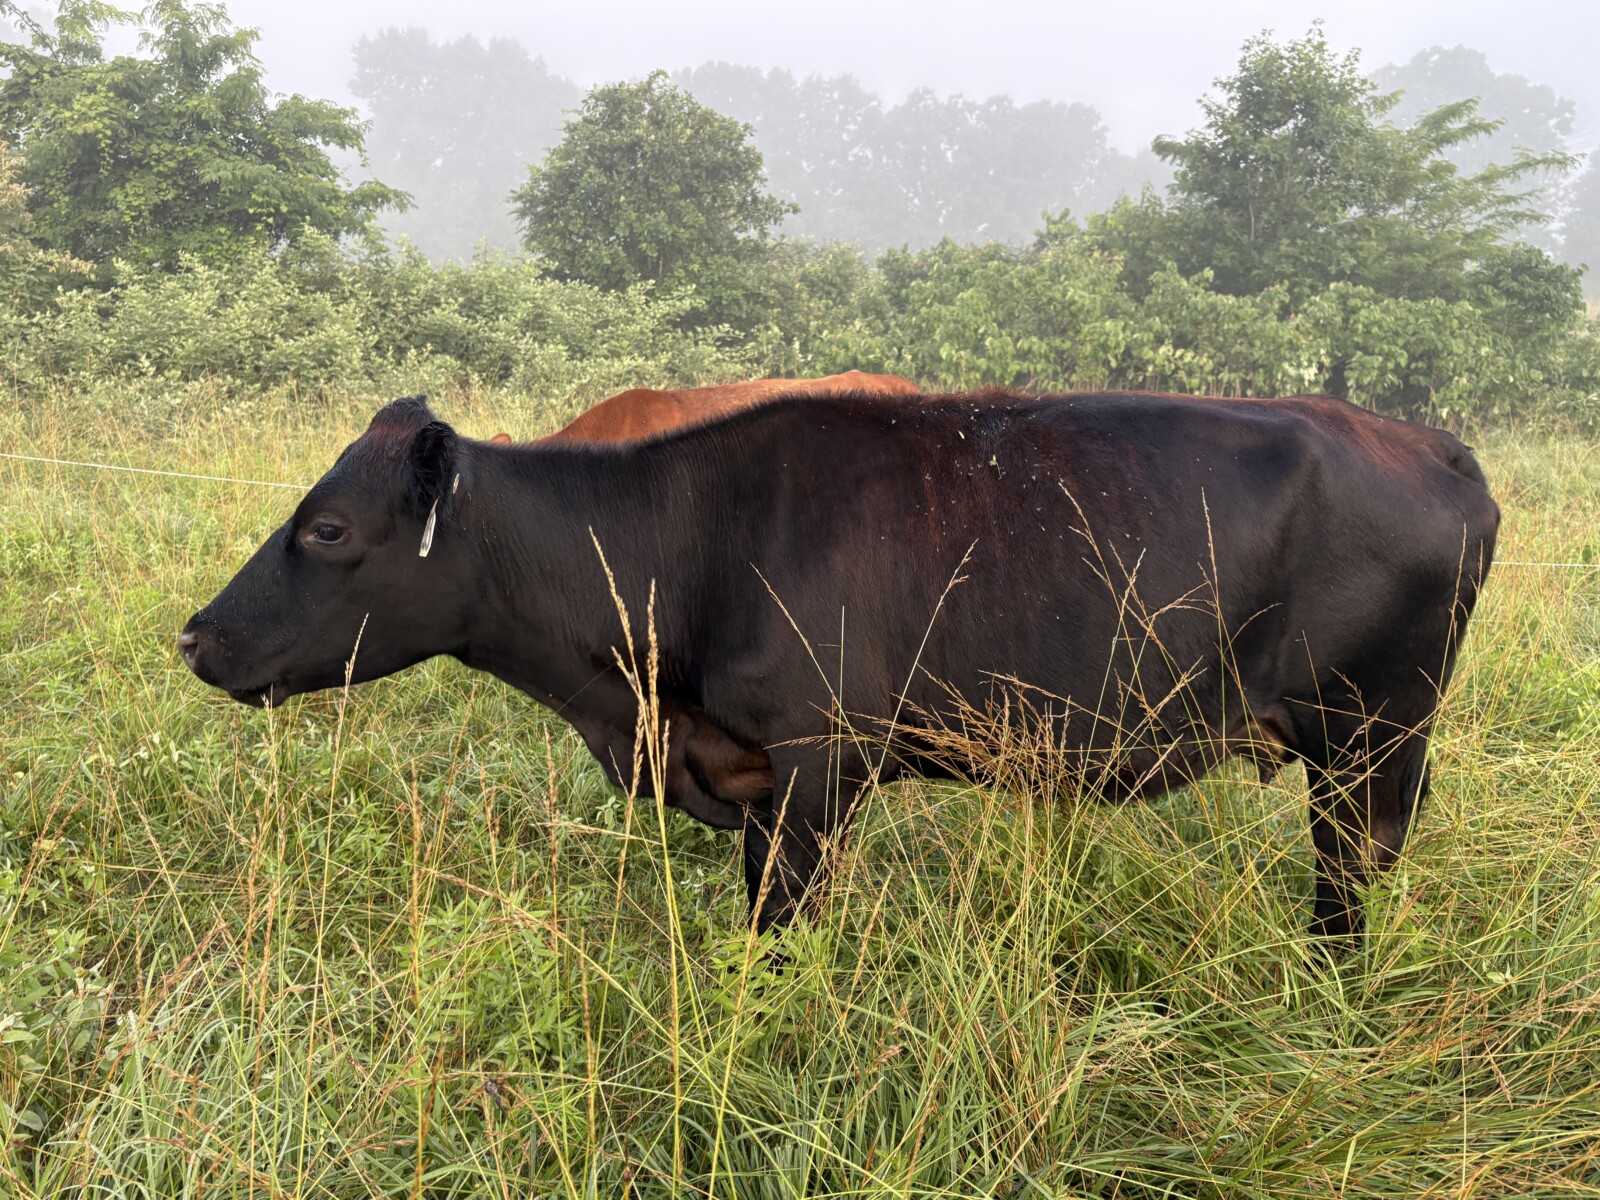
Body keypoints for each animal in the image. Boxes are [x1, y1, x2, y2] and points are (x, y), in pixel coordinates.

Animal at [179, 391, 1498, 946]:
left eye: (327, 529)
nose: (194, 637)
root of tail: (1426, 442)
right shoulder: (760, 782)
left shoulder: (819, 768)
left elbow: (782, 934)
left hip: (1372, 742)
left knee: (1347, 883)